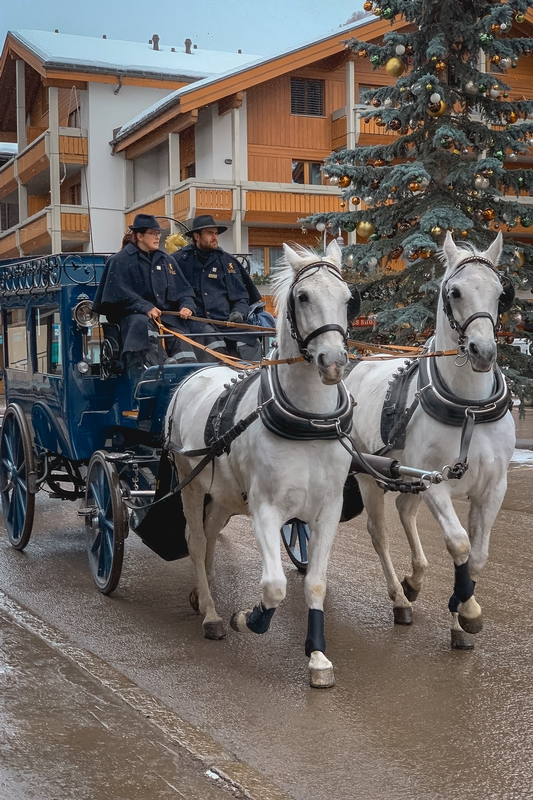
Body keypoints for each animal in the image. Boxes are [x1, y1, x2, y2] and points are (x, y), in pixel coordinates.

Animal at [164, 241, 352, 684]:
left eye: (348, 298)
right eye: (303, 297)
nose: (334, 362)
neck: (308, 423)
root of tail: (194, 374)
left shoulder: (328, 510)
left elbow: (315, 583)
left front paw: (318, 656)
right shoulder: (266, 509)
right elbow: (274, 585)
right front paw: (247, 618)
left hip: (224, 493)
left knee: (210, 533)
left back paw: (203, 594)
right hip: (189, 481)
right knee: (196, 540)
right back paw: (212, 614)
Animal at [344, 233, 516, 648]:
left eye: (501, 293)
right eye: (454, 291)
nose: (484, 351)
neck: (469, 408)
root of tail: (359, 362)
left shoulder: (493, 487)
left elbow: (478, 555)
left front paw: (460, 612)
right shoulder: (435, 483)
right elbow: (459, 543)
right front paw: (467, 612)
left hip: (407, 474)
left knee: (405, 511)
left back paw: (415, 579)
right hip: (367, 474)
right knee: (379, 533)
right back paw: (399, 597)